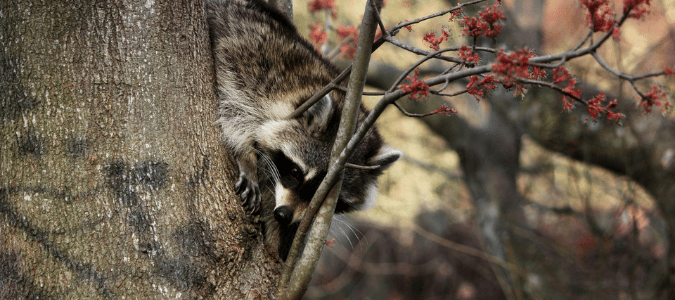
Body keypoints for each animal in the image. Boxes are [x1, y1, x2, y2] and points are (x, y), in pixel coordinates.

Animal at [206, 0, 402, 260]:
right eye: (296, 172)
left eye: (325, 197)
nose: (284, 215)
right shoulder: (245, 63)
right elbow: (232, 108)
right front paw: (245, 156)